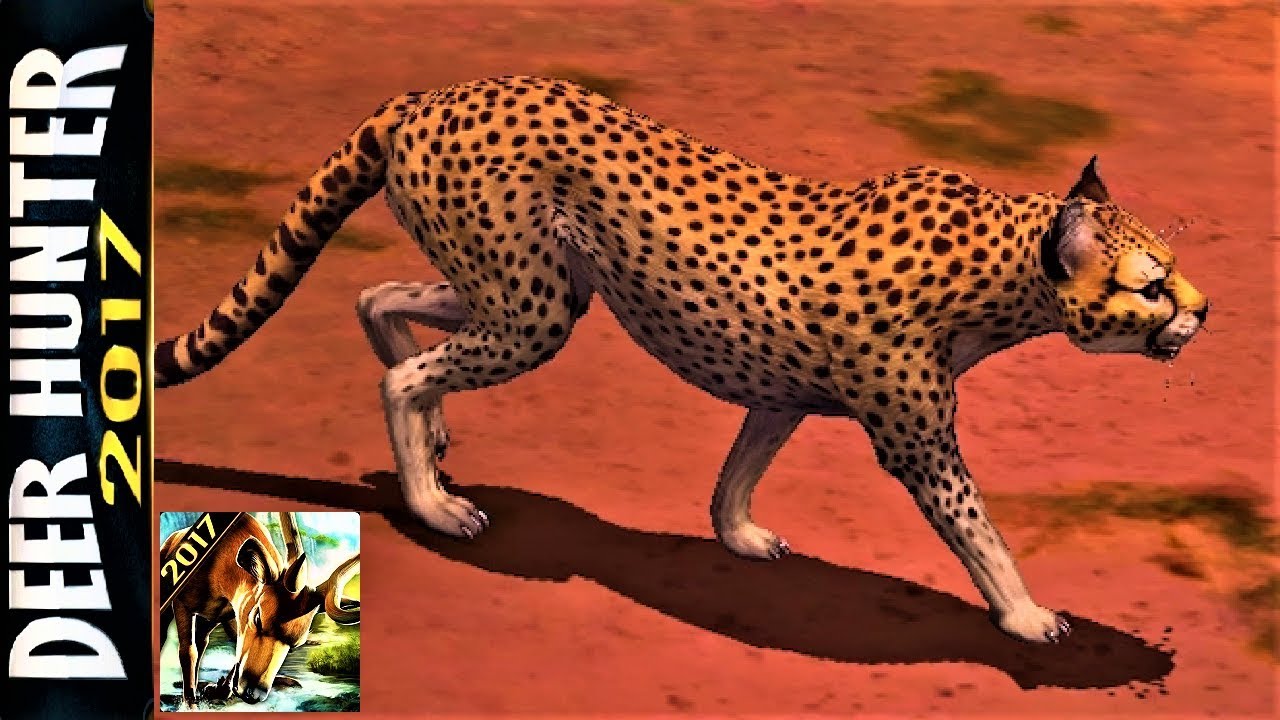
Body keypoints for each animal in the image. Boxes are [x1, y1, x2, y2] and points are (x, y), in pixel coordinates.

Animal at [159, 512, 360, 709]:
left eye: (296, 645)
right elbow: (188, 651)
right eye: (258, 618)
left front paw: (221, 689)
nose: (254, 693)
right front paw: (190, 702)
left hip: (211, 620)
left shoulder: (231, 614)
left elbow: (232, 646)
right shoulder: (182, 604)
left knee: (203, 642)